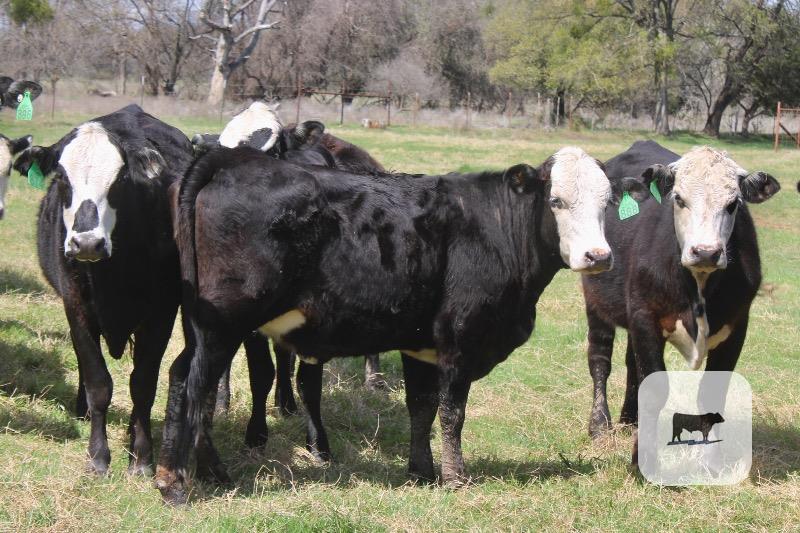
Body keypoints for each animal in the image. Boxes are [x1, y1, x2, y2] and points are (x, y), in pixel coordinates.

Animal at [11, 104, 195, 475]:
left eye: (121, 178)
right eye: (61, 177)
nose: (86, 243)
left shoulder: (161, 314)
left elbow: (143, 384)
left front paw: (142, 456)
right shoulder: (76, 308)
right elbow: (98, 383)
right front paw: (98, 456)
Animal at [153, 144, 643, 504]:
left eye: (607, 202)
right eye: (556, 201)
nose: (598, 256)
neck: (497, 229)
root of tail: (231, 158)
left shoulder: (420, 344)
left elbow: (420, 408)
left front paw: (421, 471)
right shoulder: (460, 339)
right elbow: (451, 412)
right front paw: (455, 477)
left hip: (205, 326)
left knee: (181, 376)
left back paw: (206, 473)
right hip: (224, 323)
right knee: (196, 383)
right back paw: (176, 482)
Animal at [581, 140, 780, 465]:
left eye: (733, 204)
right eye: (679, 199)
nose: (706, 252)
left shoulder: (737, 327)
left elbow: (712, 392)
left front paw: (712, 461)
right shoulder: (645, 317)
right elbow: (654, 387)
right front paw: (642, 460)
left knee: (631, 364)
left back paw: (629, 420)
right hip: (596, 299)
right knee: (600, 359)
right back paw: (600, 425)